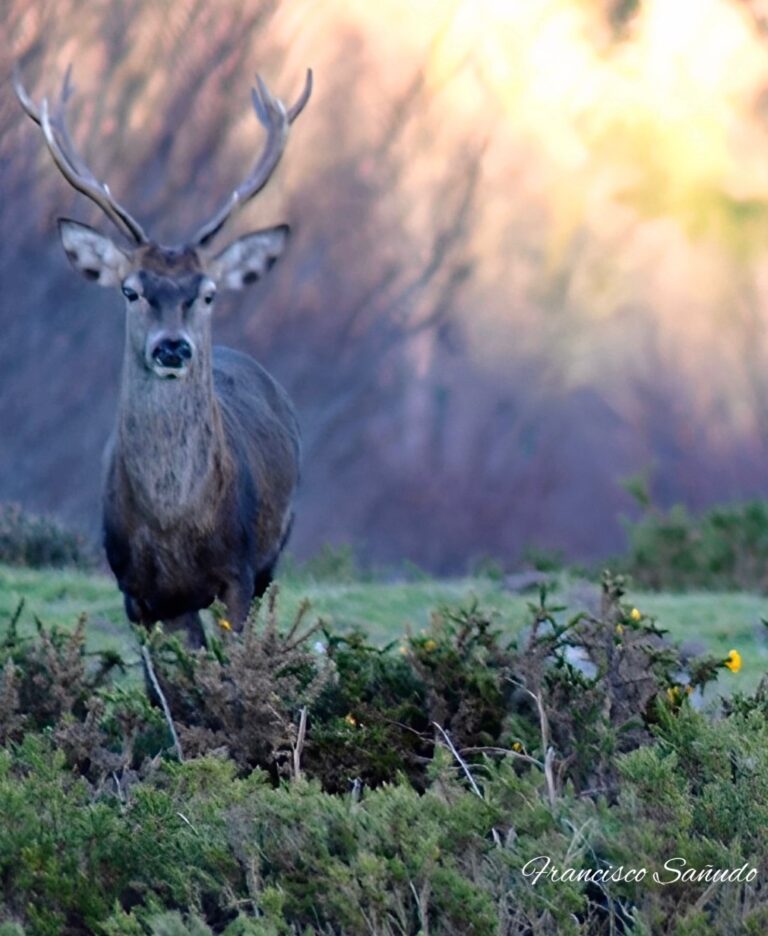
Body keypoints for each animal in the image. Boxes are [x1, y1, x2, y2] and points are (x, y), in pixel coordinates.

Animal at [13, 66, 310, 648]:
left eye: (209, 293)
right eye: (130, 290)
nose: (172, 345)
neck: (174, 525)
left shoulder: (238, 570)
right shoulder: (135, 589)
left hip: (274, 551)